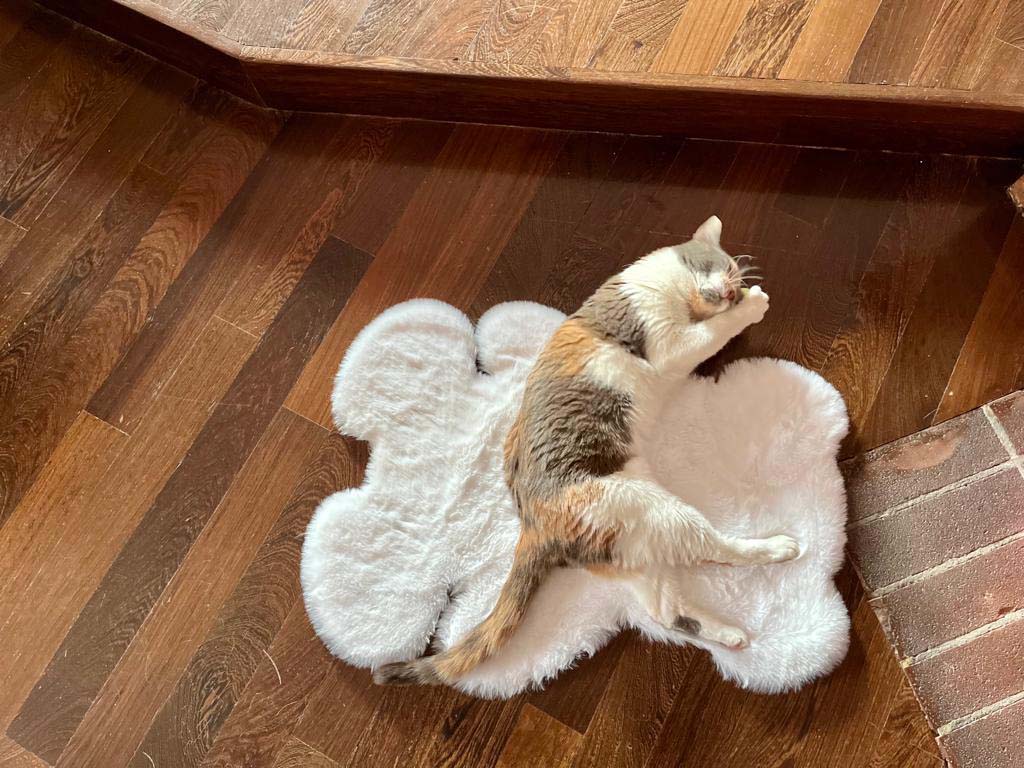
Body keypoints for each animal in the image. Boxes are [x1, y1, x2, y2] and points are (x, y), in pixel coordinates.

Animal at [374, 215, 800, 687]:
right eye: (722, 267)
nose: (731, 291)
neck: (666, 290)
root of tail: (534, 526)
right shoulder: (665, 340)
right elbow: (710, 334)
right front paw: (753, 305)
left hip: (634, 536)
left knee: (668, 611)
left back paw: (731, 633)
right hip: (652, 508)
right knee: (713, 549)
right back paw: (777, 548)